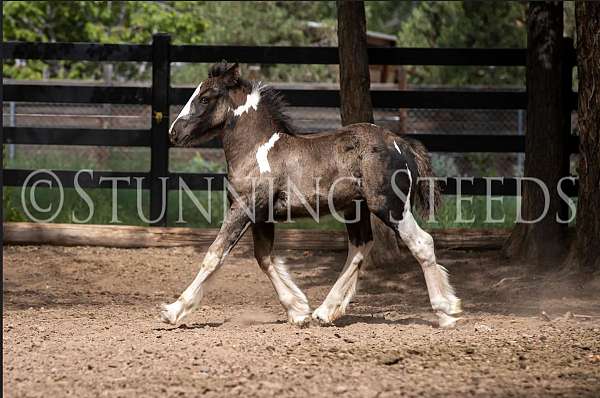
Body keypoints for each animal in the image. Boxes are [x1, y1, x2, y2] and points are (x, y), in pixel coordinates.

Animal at [162, 62, 462, 328]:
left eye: (204, 98)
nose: (174, 133)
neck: (258, 150)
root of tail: (401, 144)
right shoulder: (262, 217)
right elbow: (264, 258)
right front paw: (298, 310)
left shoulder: (243, 208)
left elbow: (215, 254)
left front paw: (174, 310)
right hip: (355, 209)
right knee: (360, 247)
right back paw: (325, 312)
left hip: (390, 206)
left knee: (421, 243)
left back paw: (446, 313)